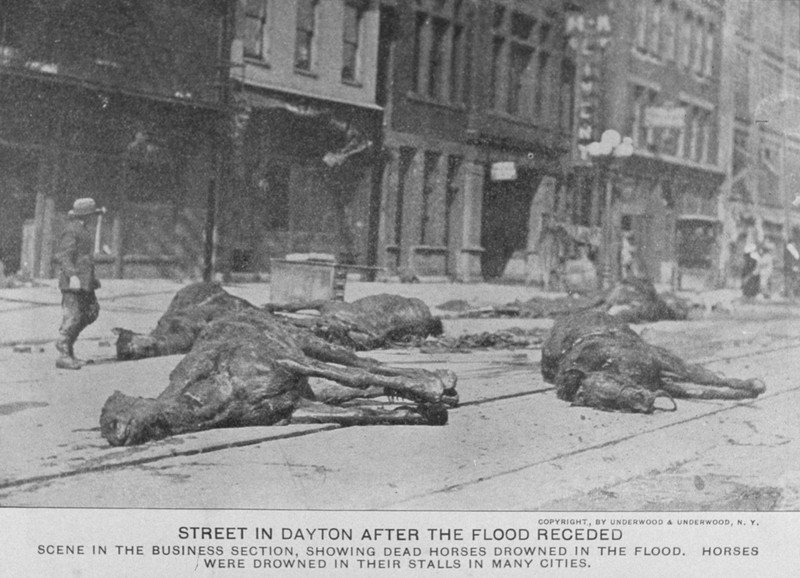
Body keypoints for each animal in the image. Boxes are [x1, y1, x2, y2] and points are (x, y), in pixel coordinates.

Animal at [101, 312, 456, 444]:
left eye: (116, 416)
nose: (115, 434)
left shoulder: (289, 361)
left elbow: (354, 376)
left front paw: (431, 389)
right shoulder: (293, 409)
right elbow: (361, 413)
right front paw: (424, 410)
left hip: (309, 343)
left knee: (362, 363)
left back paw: (440, 377)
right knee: (357, 386)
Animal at [540, 310, 764, 410]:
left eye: (611, 381)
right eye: (604, 405)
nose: (641, 400)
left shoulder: (660, 358)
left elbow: (705, 378)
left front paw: (755, 385)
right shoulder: (661, 382)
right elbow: (702, 391)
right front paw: (748, 392)